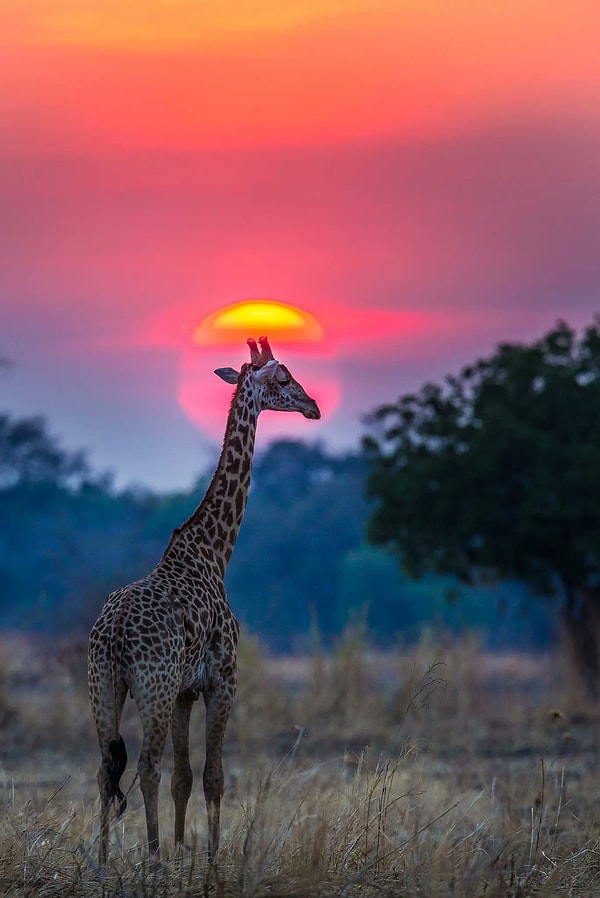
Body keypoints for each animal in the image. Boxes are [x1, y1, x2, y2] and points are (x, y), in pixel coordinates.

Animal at [87, 332, 322, 864]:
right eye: (283, 378)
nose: (313, 406)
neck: (215, 552)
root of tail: (113, 635)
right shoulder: (222, 679)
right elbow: (213, 777)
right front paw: (209, 861)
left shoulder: (183, 692)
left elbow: (185, 776)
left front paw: (182, 854)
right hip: (149, 685)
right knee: (144, 767)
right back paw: (150, 860)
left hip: (104, 686)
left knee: (107, 767)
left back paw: (105, 862)